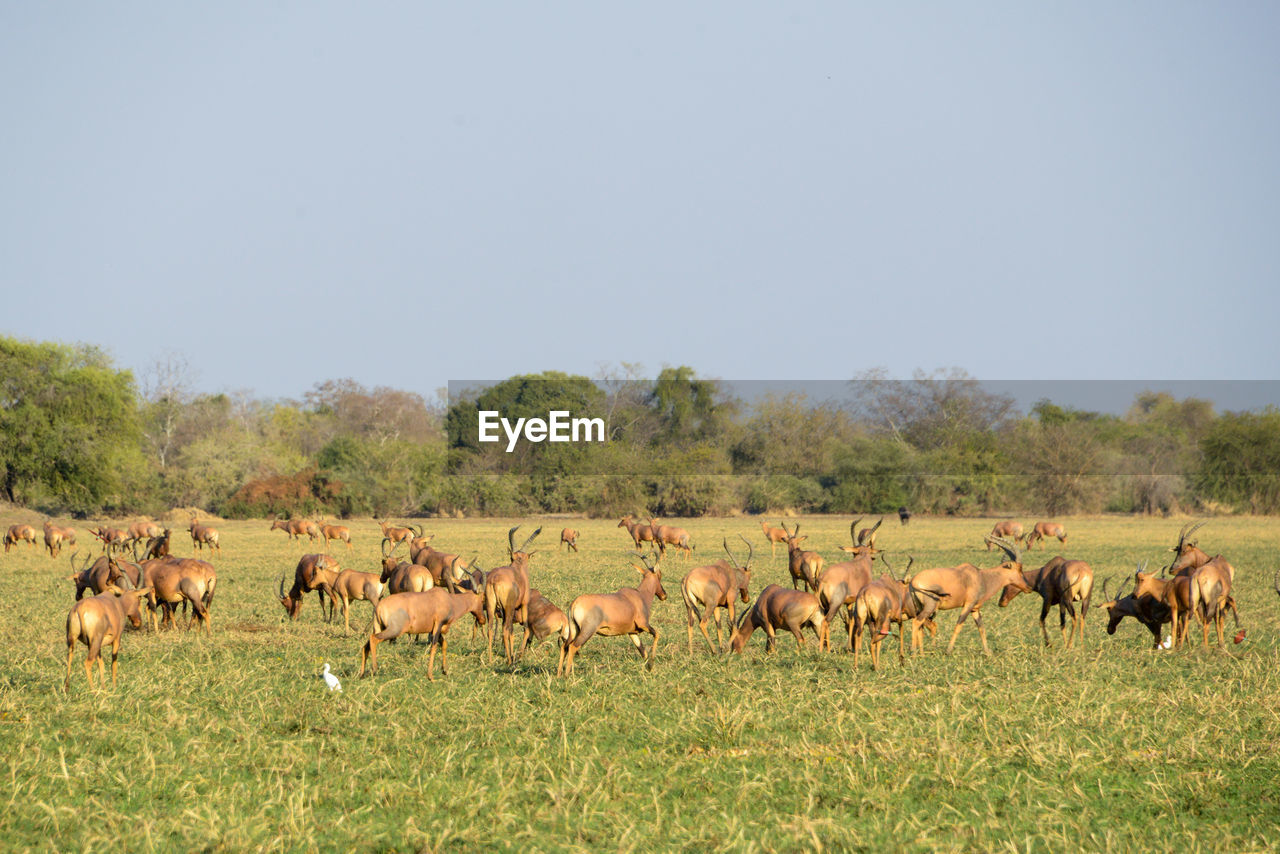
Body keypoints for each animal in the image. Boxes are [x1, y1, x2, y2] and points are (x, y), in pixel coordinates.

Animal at [360, 588, 488, 681]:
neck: (448, 599)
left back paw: (361, 674)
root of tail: (379, 607)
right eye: (482, 600)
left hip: (378, 628)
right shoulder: (438, 625)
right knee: (373, 639)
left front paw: (445, 671)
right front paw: (430, 676)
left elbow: (444, 644)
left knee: (366, 646)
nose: (483, 620)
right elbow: (434, 647)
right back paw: (374, 669)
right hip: (394, 630)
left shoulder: (433, 630)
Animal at [906, 537, 1034, 660]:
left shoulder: (975, 609)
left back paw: (921, 654)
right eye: (1020, 569)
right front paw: (948, 651)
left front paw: (987, 652)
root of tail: (913, 581)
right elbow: (959, 625)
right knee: (916, 622)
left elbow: (981, 628)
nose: (1029, 587)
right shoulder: (968, 605)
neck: (980, 576)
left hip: (920, 607)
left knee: (920, 626)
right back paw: (913, 653)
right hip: (930, 606)